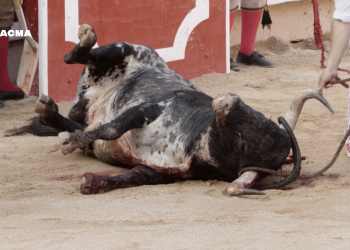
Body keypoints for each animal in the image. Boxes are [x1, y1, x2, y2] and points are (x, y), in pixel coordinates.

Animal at [8, 23, 334, 195]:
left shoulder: (155, 172)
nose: (228, 100)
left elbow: (131, 173)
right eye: (257, 115)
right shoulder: (147, 109)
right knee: (83, 56)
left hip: (87, 108)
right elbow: (114, 127)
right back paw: (85, 40)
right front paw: (72, 145)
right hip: (128, 51)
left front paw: (92, 181)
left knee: (77, 121)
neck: (192, 144)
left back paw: (50, 111)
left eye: (244, 144)